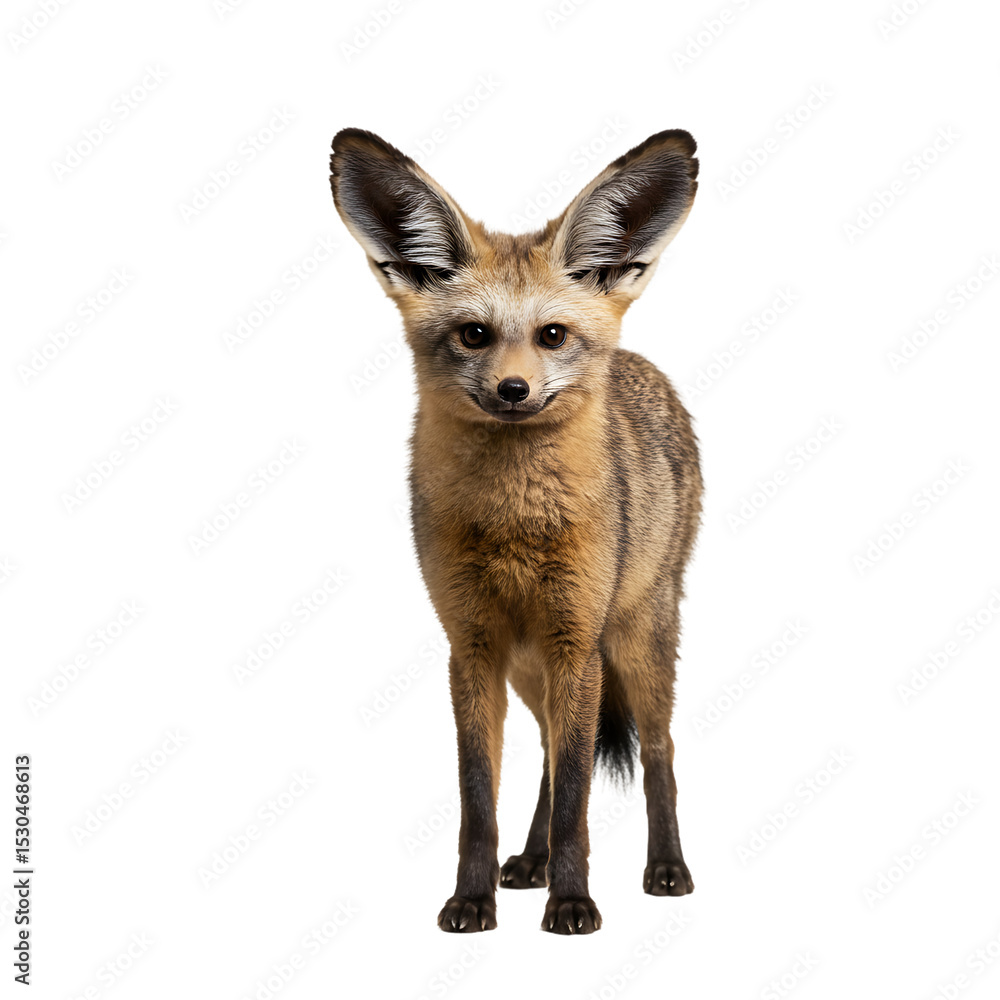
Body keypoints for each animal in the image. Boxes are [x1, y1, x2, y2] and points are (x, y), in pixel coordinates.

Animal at [329, 127, 702, 935]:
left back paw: (666, 868)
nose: (513, 390)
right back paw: (529, 864)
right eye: (475, 335)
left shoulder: (575, 639)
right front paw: (473, 900)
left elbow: (578, 802)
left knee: (656, 753)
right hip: (536, 669)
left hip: (634, 642)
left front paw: (573, 902)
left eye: (551, 335)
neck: (514, 526)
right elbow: (481, 797)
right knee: (549, 758)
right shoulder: (472, 643)